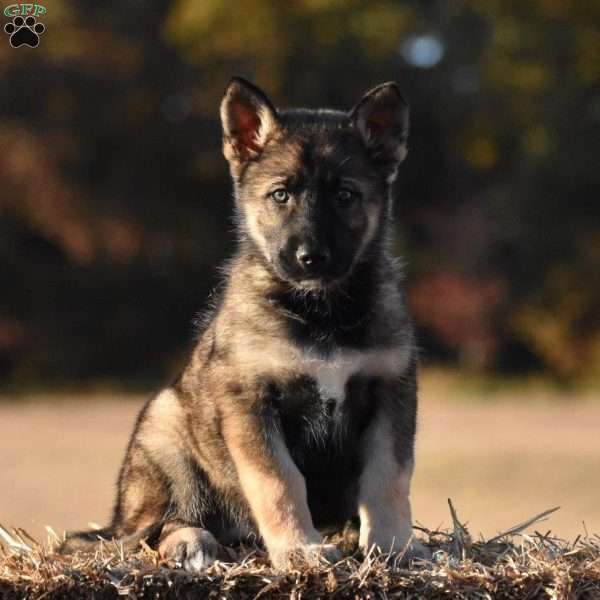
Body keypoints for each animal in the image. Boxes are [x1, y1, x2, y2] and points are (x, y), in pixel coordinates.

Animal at [59, 77, 426, 568]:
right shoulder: (250, 401)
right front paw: (300, 549)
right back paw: (190, 543)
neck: (320, 310)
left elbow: (389, 478)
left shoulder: (391, 392)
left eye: (345, 195)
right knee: (155, 528)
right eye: (280, 194)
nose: (311, 257)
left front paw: (393, 546)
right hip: (165, 426)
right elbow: (279, 482)